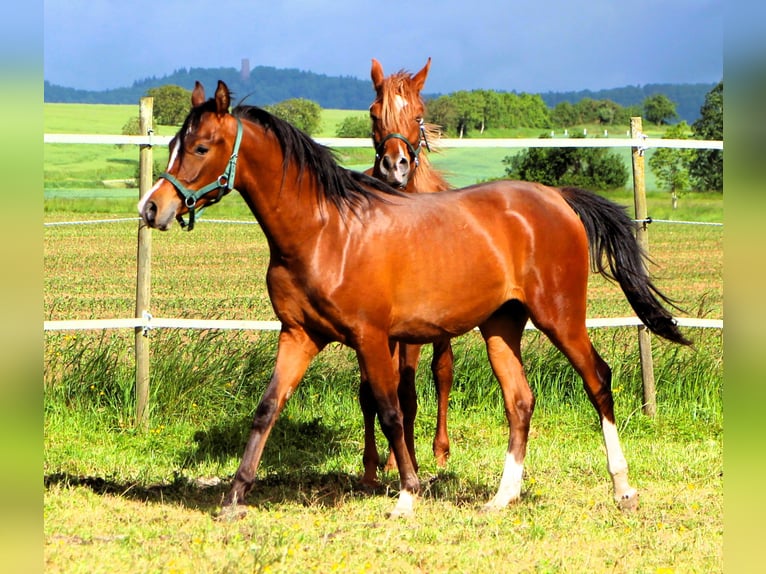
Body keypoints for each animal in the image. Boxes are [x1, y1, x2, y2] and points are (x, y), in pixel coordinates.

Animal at [138, 80, 691, 519]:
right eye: (174, 143)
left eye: (202, 147)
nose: (152, 208)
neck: (324, 230)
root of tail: (555, 197)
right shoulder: (299, 336)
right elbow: (267, 408)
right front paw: (234, 498)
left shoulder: (371, 337)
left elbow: (390, 411)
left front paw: (408, 494)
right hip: (501, 326)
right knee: (519, 400)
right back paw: (501, 498)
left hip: (560, 317)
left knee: (598, 381)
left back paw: (622, 489)